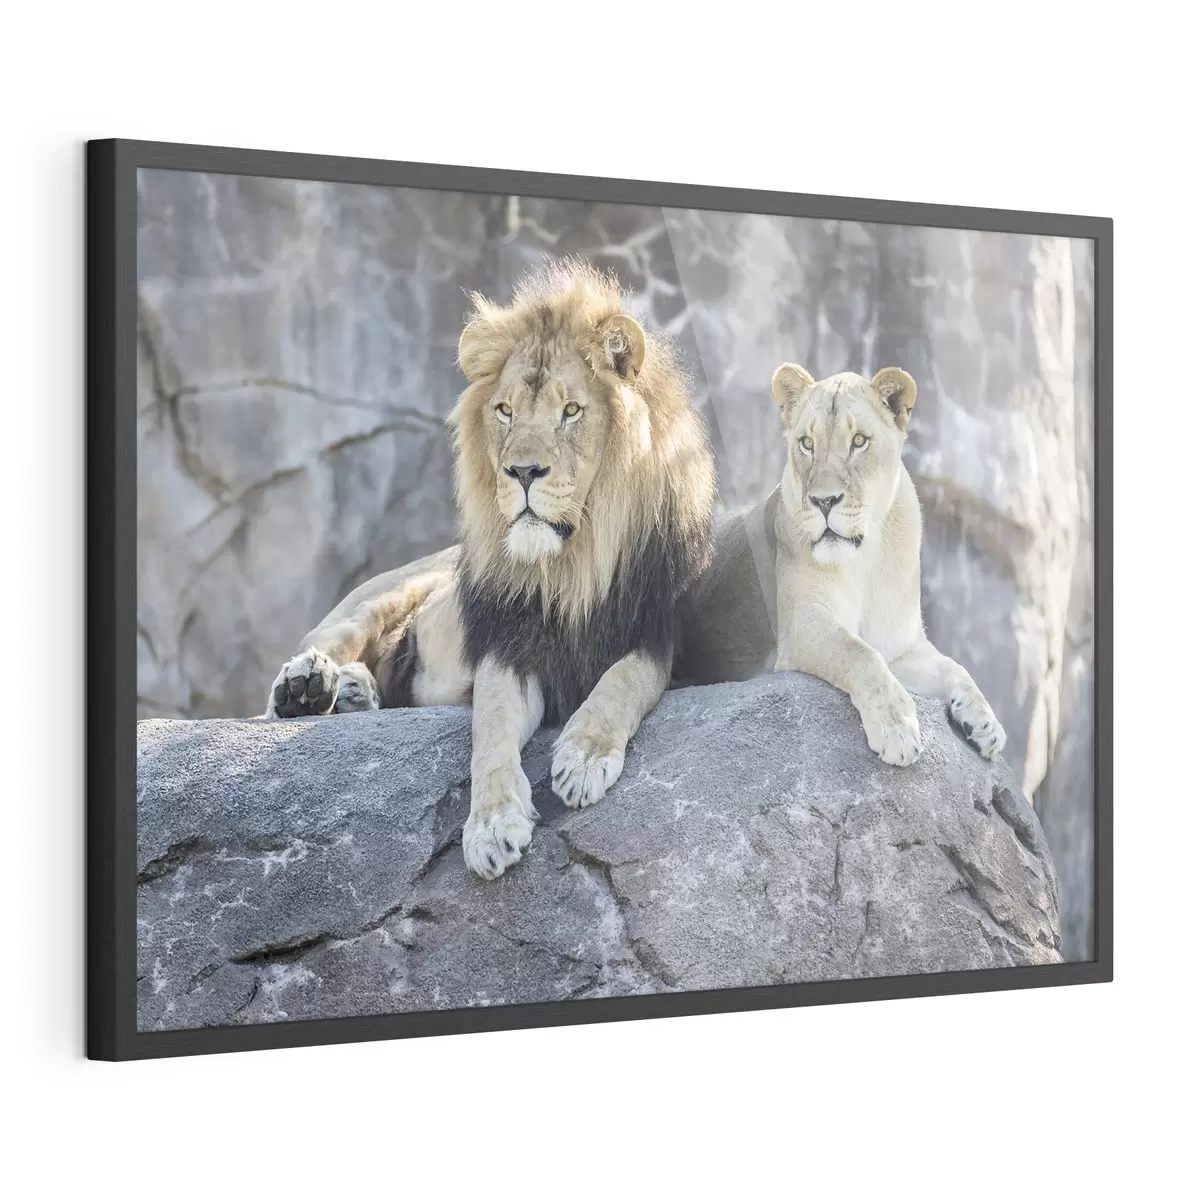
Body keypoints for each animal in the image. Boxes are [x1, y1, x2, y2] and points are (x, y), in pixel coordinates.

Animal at [265, 261, 716, 879]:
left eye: (571, 411)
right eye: (505, 411)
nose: (521, 471)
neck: (569, 566)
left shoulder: (655, 634)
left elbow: (623, 682)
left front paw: (582, 758)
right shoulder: (507, 645)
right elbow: (492, 726)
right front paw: (492, 825)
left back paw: (354, 692)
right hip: (384, 593)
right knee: (319, 652)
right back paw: (308, 685)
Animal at [676, 364, 1005, 768]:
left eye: (859, 441)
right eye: (806, 443)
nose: (823, 501)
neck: (865, 561)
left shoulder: (902, 646)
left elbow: (954, 667)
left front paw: (985, 723)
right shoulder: (803, 625)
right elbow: (859, 653)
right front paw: (896, 727)